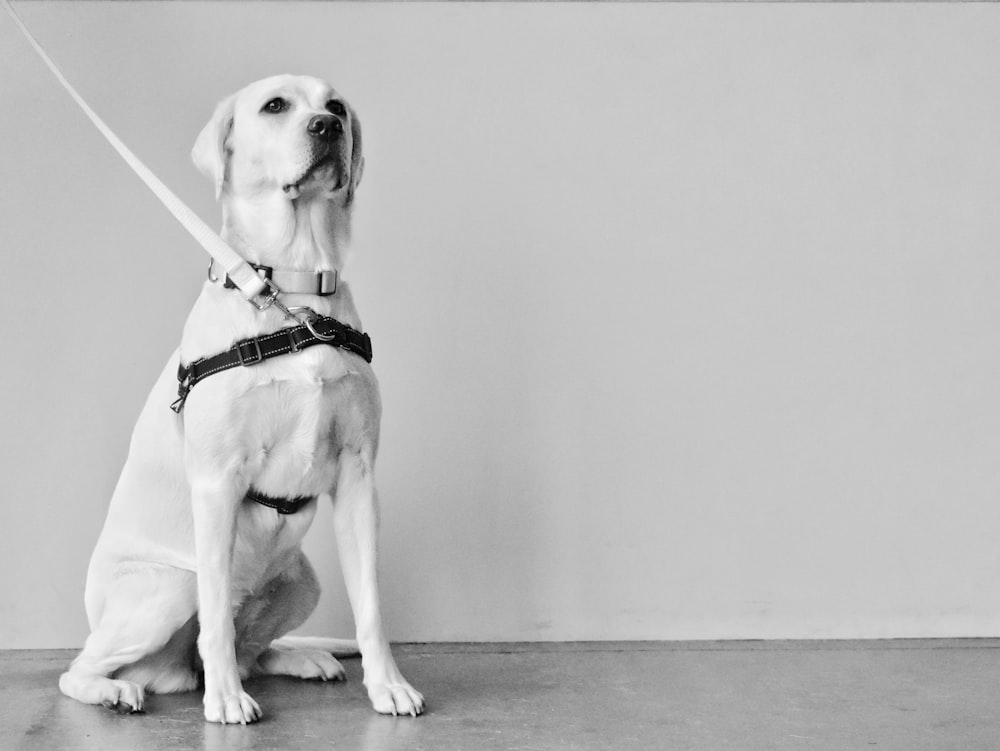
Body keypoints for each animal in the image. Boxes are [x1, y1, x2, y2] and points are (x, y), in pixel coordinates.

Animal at [57, 75, 426, 724]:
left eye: (335, 106)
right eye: (275, 106)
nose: (327, 128)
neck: (293, 291)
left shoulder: (358, 477)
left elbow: (371, 606)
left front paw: (388, 685)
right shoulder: (215, 482)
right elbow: (216, 622)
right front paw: (227, 701)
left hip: (303, 580)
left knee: (250, 649)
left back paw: (303, 659)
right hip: (168, 587)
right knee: (83, 667)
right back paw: (118, 691)